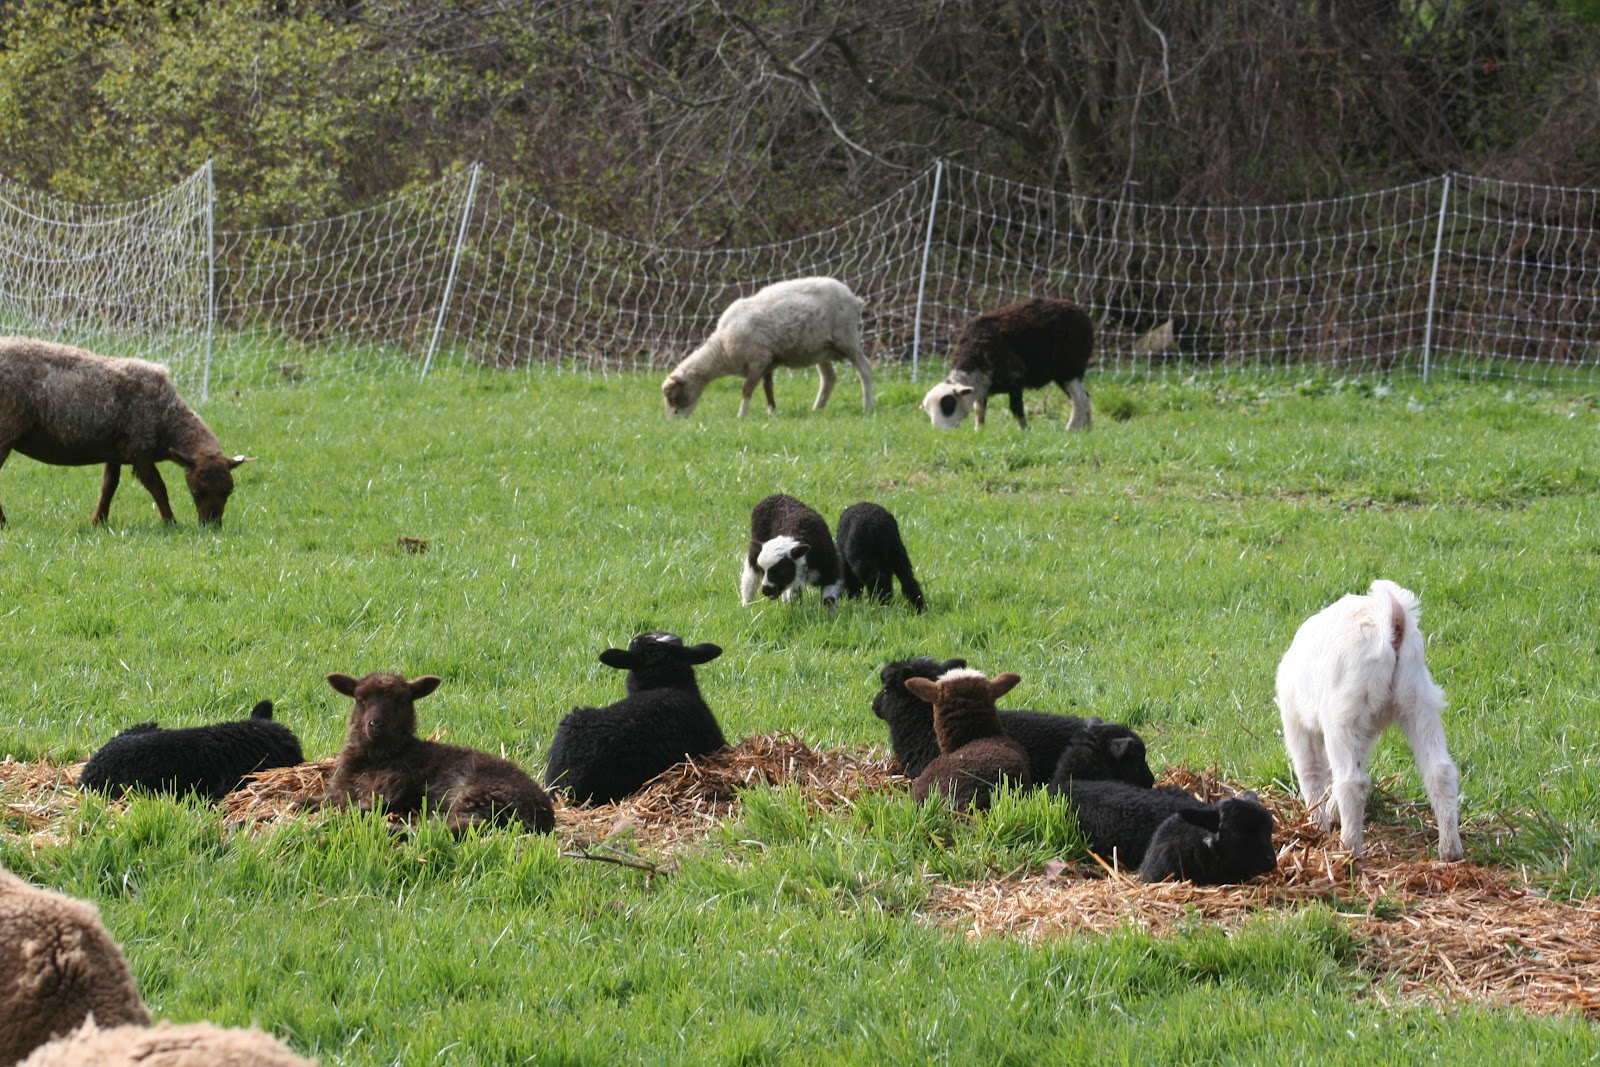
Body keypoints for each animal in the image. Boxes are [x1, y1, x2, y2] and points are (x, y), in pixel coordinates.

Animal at [0, 337, 252, 526]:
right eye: (196, 492)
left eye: (228, 492)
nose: (211, 527)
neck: (167, 419)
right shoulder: (140, 451)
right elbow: (158, 488)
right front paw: (171, 522)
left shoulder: (115, 453)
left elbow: (108, 487)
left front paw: (98, 522)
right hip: (6, 429)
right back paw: (4, 524)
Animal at [324, 672, 555, 834]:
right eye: (360, 699)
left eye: (402, 701)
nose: (376, 725)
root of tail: (545, 817)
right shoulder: (343, 790)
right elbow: (326, 799)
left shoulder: (393, 785)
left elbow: (359, 806)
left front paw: (330, 819)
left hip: (482, 795)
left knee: (464, 825)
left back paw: (395, 830)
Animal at [660, 277, 874, 418]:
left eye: (672, 396)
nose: (673, 422)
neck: (721, 349)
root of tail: (854, 298)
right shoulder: (767, 362)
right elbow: (767, 387)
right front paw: (772, 413)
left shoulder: (758, 359)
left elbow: (747, 389)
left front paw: (741, 416)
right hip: (820, 350)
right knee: (829, 378)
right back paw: (816, 410)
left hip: (847, 338)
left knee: (865, 370)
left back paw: (867, 406)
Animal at [920, 297, 1093, 431]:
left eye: (948, 405)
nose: (941, 432)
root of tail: (1082, 313)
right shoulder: (983, 388)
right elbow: (979, 410)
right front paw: (978, 431)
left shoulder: (1015, 379)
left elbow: (1016, 408)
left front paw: (1024, 431)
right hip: (1064, 374)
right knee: (1085, 397)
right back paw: (1087, 429)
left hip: (1070, 367)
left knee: (1079, 400)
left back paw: (1071, 429)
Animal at [1275, 579, 1462, 861]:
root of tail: (1390, 619)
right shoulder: (1367, 730)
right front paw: (1330, 812)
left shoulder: (1297, 724)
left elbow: (1310, 772)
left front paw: (1316, 826)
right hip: (1418, 700)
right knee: (1440, 771)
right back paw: (1450, 850)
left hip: (1342, 713)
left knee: (1352, 782)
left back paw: (1349, 849)